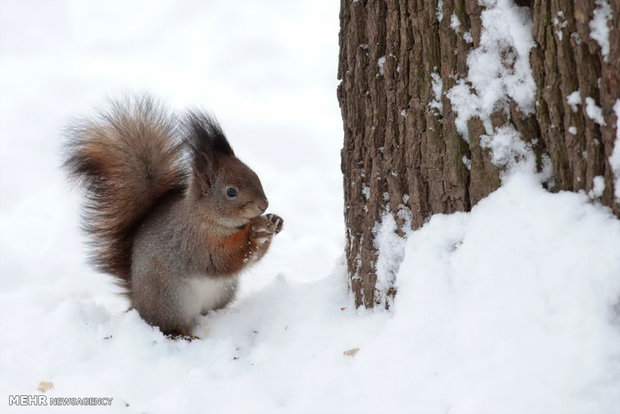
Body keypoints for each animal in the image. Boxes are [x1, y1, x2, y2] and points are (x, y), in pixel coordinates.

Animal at [63, 97, 284, 340]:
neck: (209, 219)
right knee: (166, 325)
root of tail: (138, 303)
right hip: (169, 298)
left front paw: (274, 221)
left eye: (255, 175)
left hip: (223, 290)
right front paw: (256, 231)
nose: (264, 205)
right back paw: (183, 334)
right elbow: (220, 259)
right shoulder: (192, 242)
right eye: (231, 192)